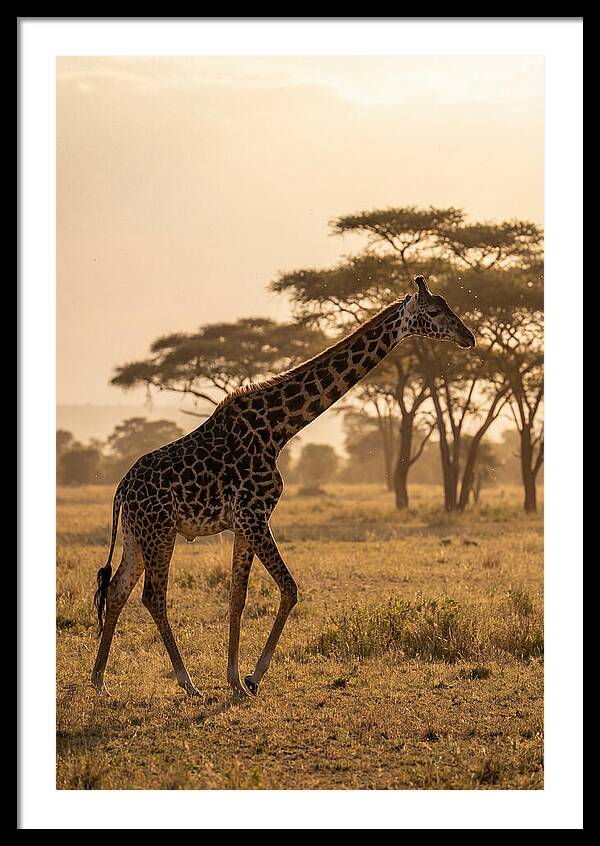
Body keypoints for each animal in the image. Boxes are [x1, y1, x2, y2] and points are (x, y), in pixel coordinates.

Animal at [91, 275, 475, 699]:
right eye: (435, 311)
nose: (469, 337)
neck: (278, 429)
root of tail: (122, 489)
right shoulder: (254, 516)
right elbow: (289, 589)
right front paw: (253, 677)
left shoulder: (243, 524)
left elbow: (237, 596)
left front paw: (234, 680)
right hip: (160, 532)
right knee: (153, 596)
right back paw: (187, 683)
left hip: (136, 535)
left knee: (117, 589)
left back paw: (100, 681)